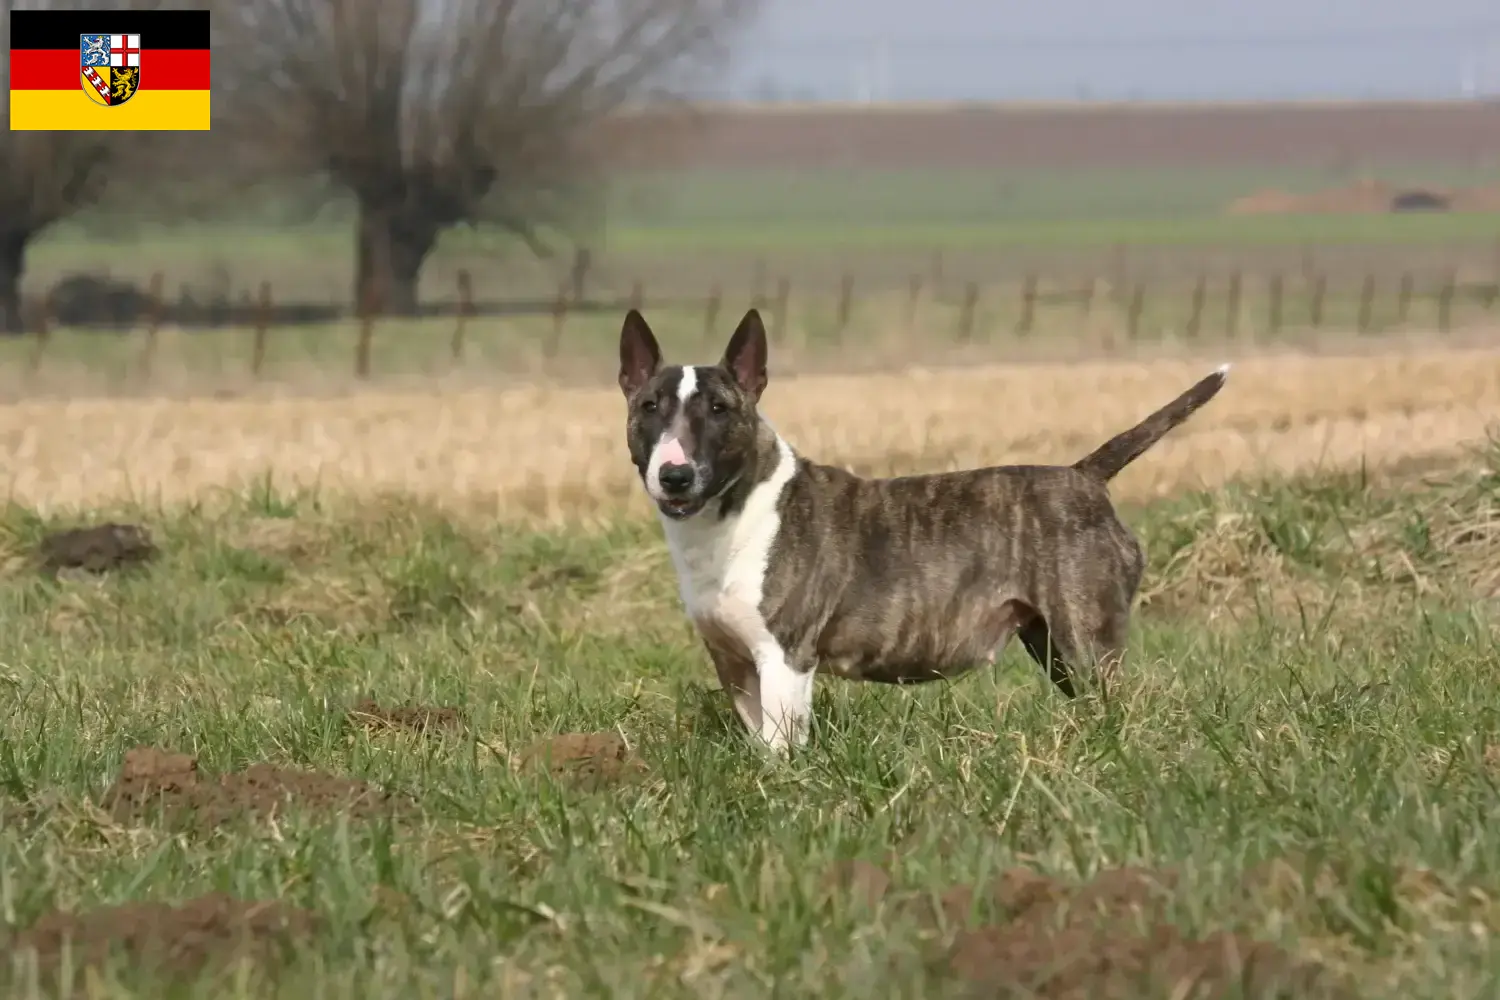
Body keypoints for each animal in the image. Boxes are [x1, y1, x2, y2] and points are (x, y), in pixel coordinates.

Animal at [621, 305, 1230, 749]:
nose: (674, 475)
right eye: (649, 406)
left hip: (1088, 638)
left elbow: (781, 747)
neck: (731, 515)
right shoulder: (734, 664)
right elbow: (758, 743)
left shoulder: (785, 657)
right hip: (1050, 642)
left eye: (719, 409)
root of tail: (1084, 476)